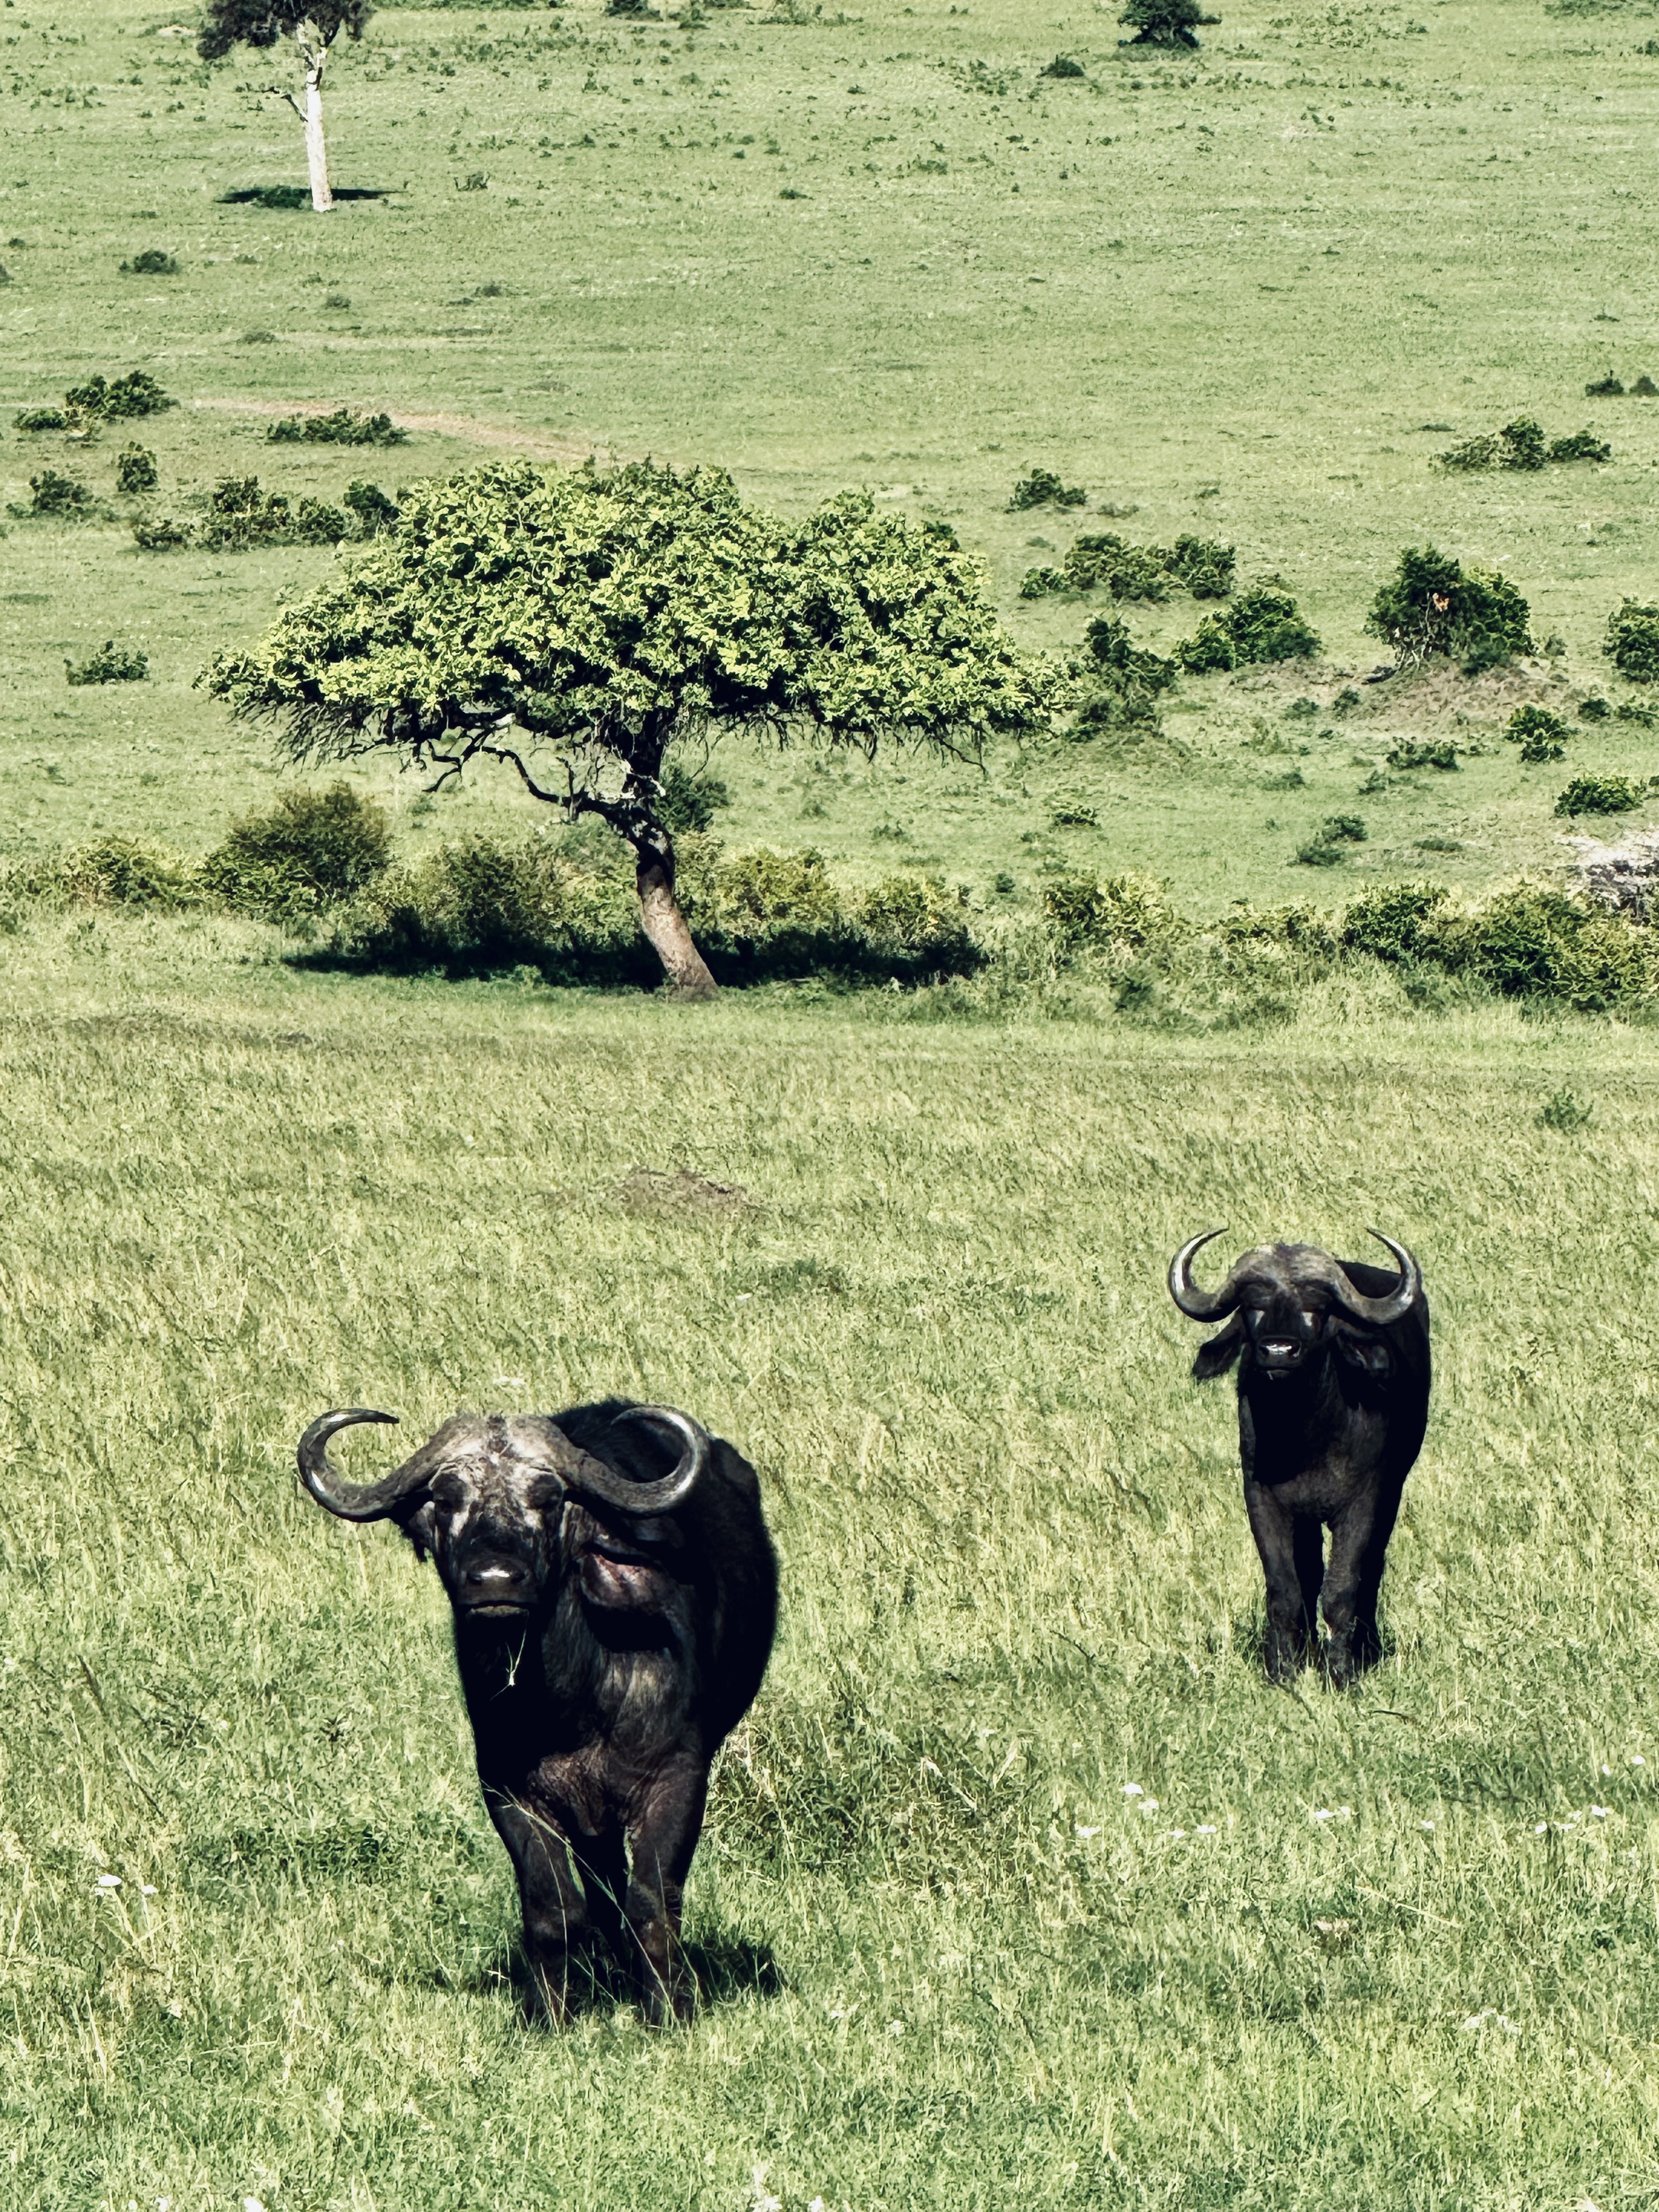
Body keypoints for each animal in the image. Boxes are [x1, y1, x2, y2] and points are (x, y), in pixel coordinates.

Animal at [296, 1398, 778, 2026]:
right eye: (447, 1498)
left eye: (548, 1499)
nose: (496, 1580)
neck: (571, 1700)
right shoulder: (510, 1789)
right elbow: (552, 1909)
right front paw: (547, 2015)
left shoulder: (679, 1778)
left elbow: (653, 1902)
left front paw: (670, 2011)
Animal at [1167, 1238, 1433, 1681]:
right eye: (1254, 1305)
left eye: (1316, 1308)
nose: (1278, 1351)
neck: (1307, 1438)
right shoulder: (1263, 1498)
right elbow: (1286, 1587)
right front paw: (1282, 1669)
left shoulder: (1366, 1500)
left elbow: (1343, 1587)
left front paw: (1342, 1672)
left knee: (1372, 1569)